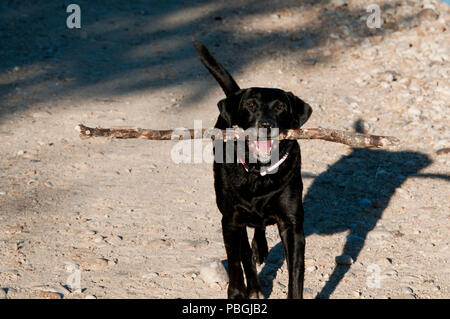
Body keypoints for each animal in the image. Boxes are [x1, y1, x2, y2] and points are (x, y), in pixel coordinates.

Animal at [193, 41, 312, 298]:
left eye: (280, 106)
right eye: (250, 105)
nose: (266, 125)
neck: (259, 174)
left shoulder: (292, 226)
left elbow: (296, 274)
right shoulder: (230, 219)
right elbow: (236, 260)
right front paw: (238, 293)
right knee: (245, 251)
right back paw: (254, 288)